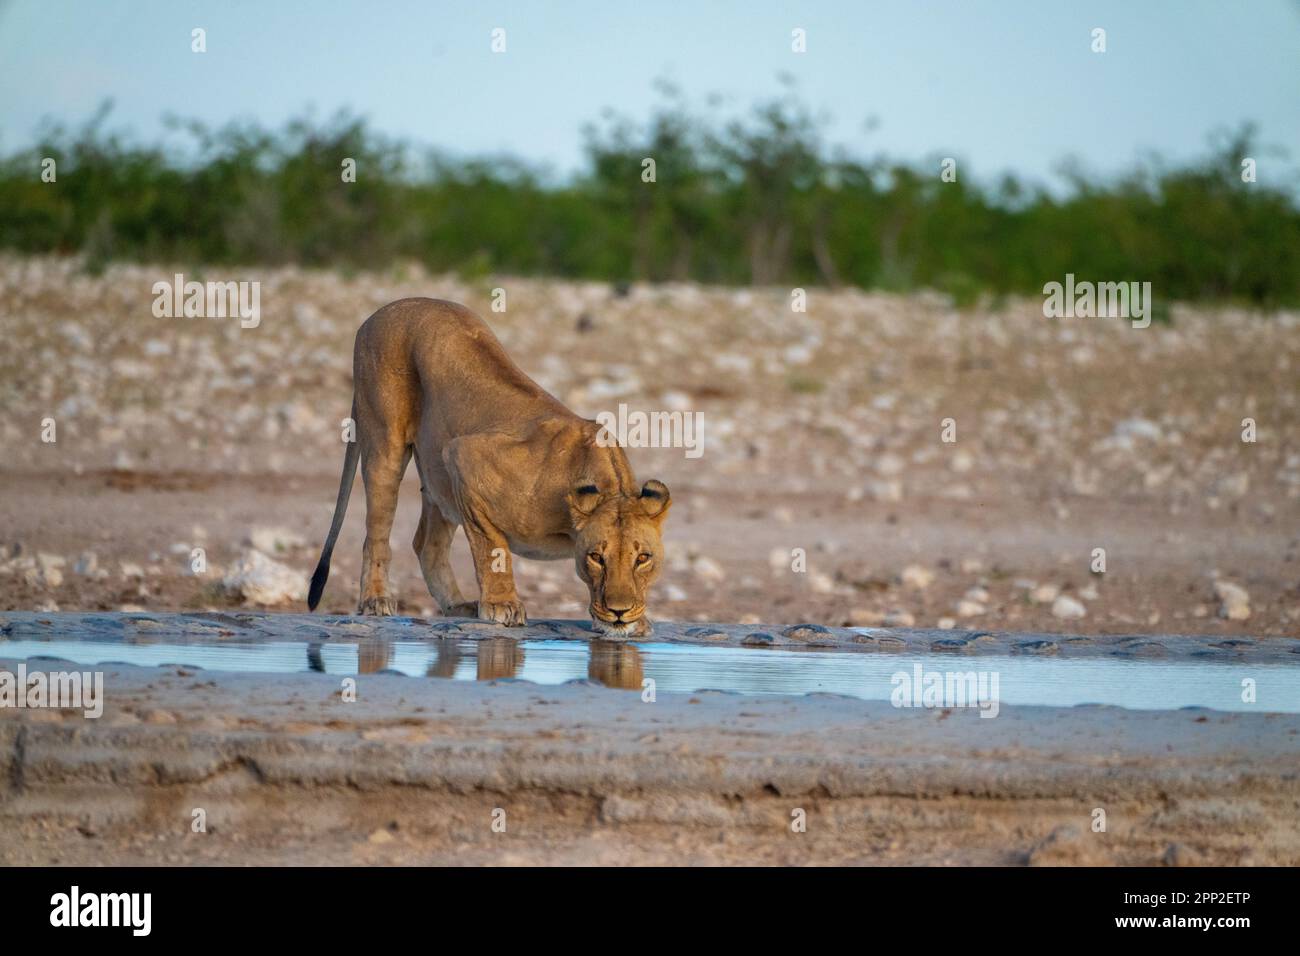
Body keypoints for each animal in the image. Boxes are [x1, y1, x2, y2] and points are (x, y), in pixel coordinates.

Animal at [307, 297, 671, 638]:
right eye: (597, 557)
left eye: (643, 558)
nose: (620, 612)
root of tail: (379, 313)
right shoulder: (464, 458)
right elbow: (492, 549)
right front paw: (501, 604)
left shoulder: (453, 467)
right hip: (387, 445)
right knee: (377, 535)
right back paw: (376, 600)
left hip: (438, 480)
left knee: (426, 545)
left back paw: (457, 605)